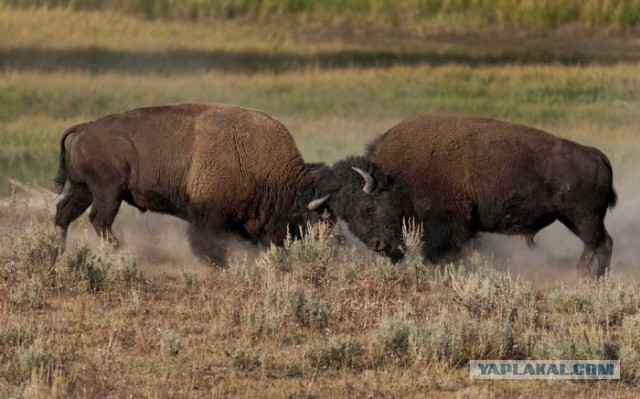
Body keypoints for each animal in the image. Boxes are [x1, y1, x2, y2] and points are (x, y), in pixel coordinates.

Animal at [56, 104, 404, 266]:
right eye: (367, 206)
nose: (383, 245)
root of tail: (86, 127)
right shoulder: (208, 216)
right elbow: (208, 245)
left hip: (83, 189)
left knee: (63, 214)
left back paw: (60, 251)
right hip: (108, 191)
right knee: (98, 220)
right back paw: (124, 252)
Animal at [368, 112, 616, 278]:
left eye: (371, 205)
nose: (377, 244)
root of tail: (597, 155)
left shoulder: (447, 224)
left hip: (584, 217)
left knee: (597, 244)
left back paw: (586, 276)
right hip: (572, 218)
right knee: (601, 243)